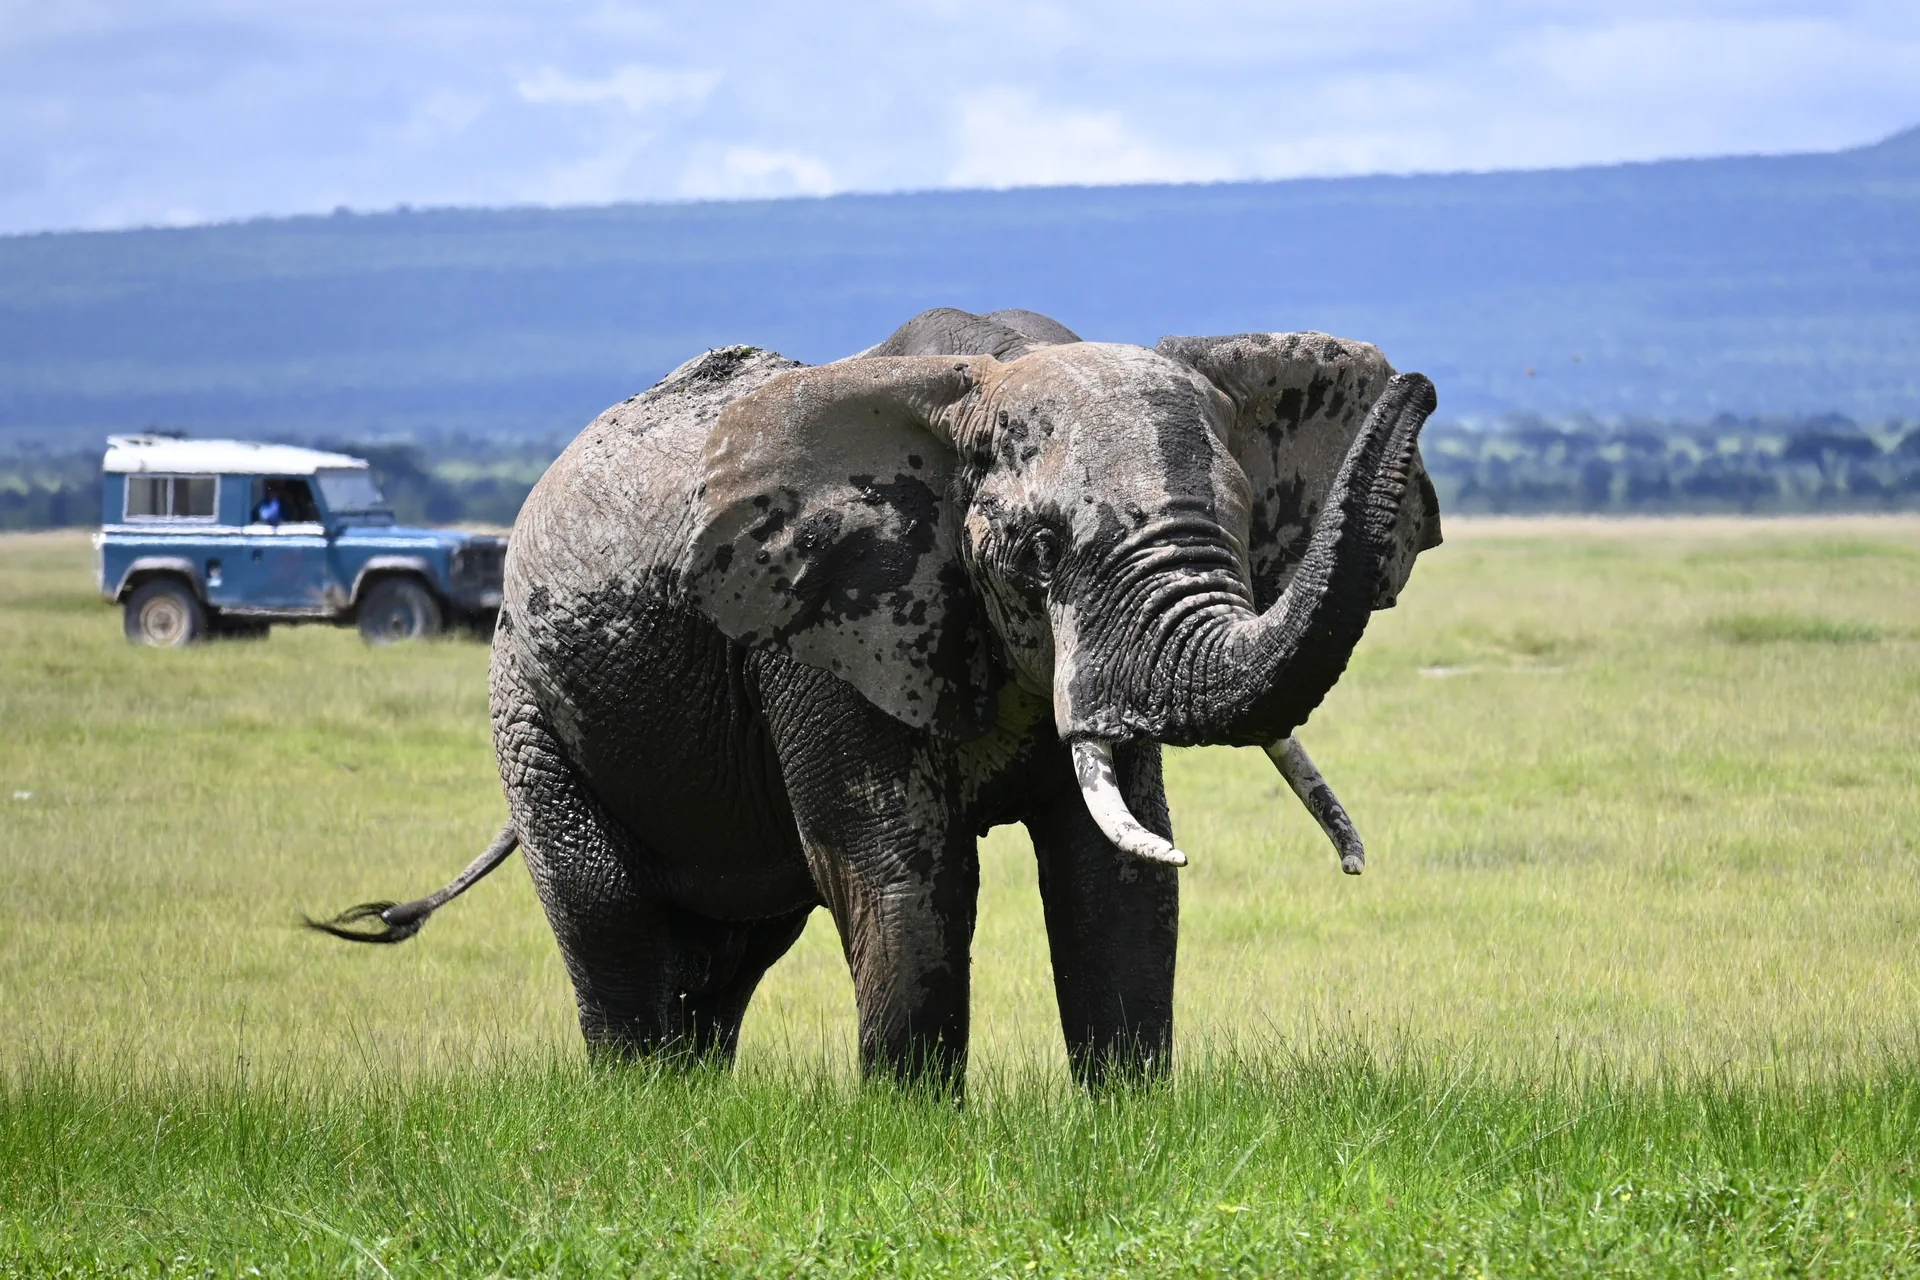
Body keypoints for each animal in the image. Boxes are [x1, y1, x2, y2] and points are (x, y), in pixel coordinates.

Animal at [313, 307, 1443, 1091]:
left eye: (1248, 525)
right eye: (1041, 550)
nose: (1423, 384)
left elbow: (1115, 869)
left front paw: (1128, 1123)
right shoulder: (814, 629)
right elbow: (899, 865)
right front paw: (912, 1130)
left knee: (728, 949)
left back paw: (688, 1110)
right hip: (527, 696)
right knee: (608, 911)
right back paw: (639, 1112)